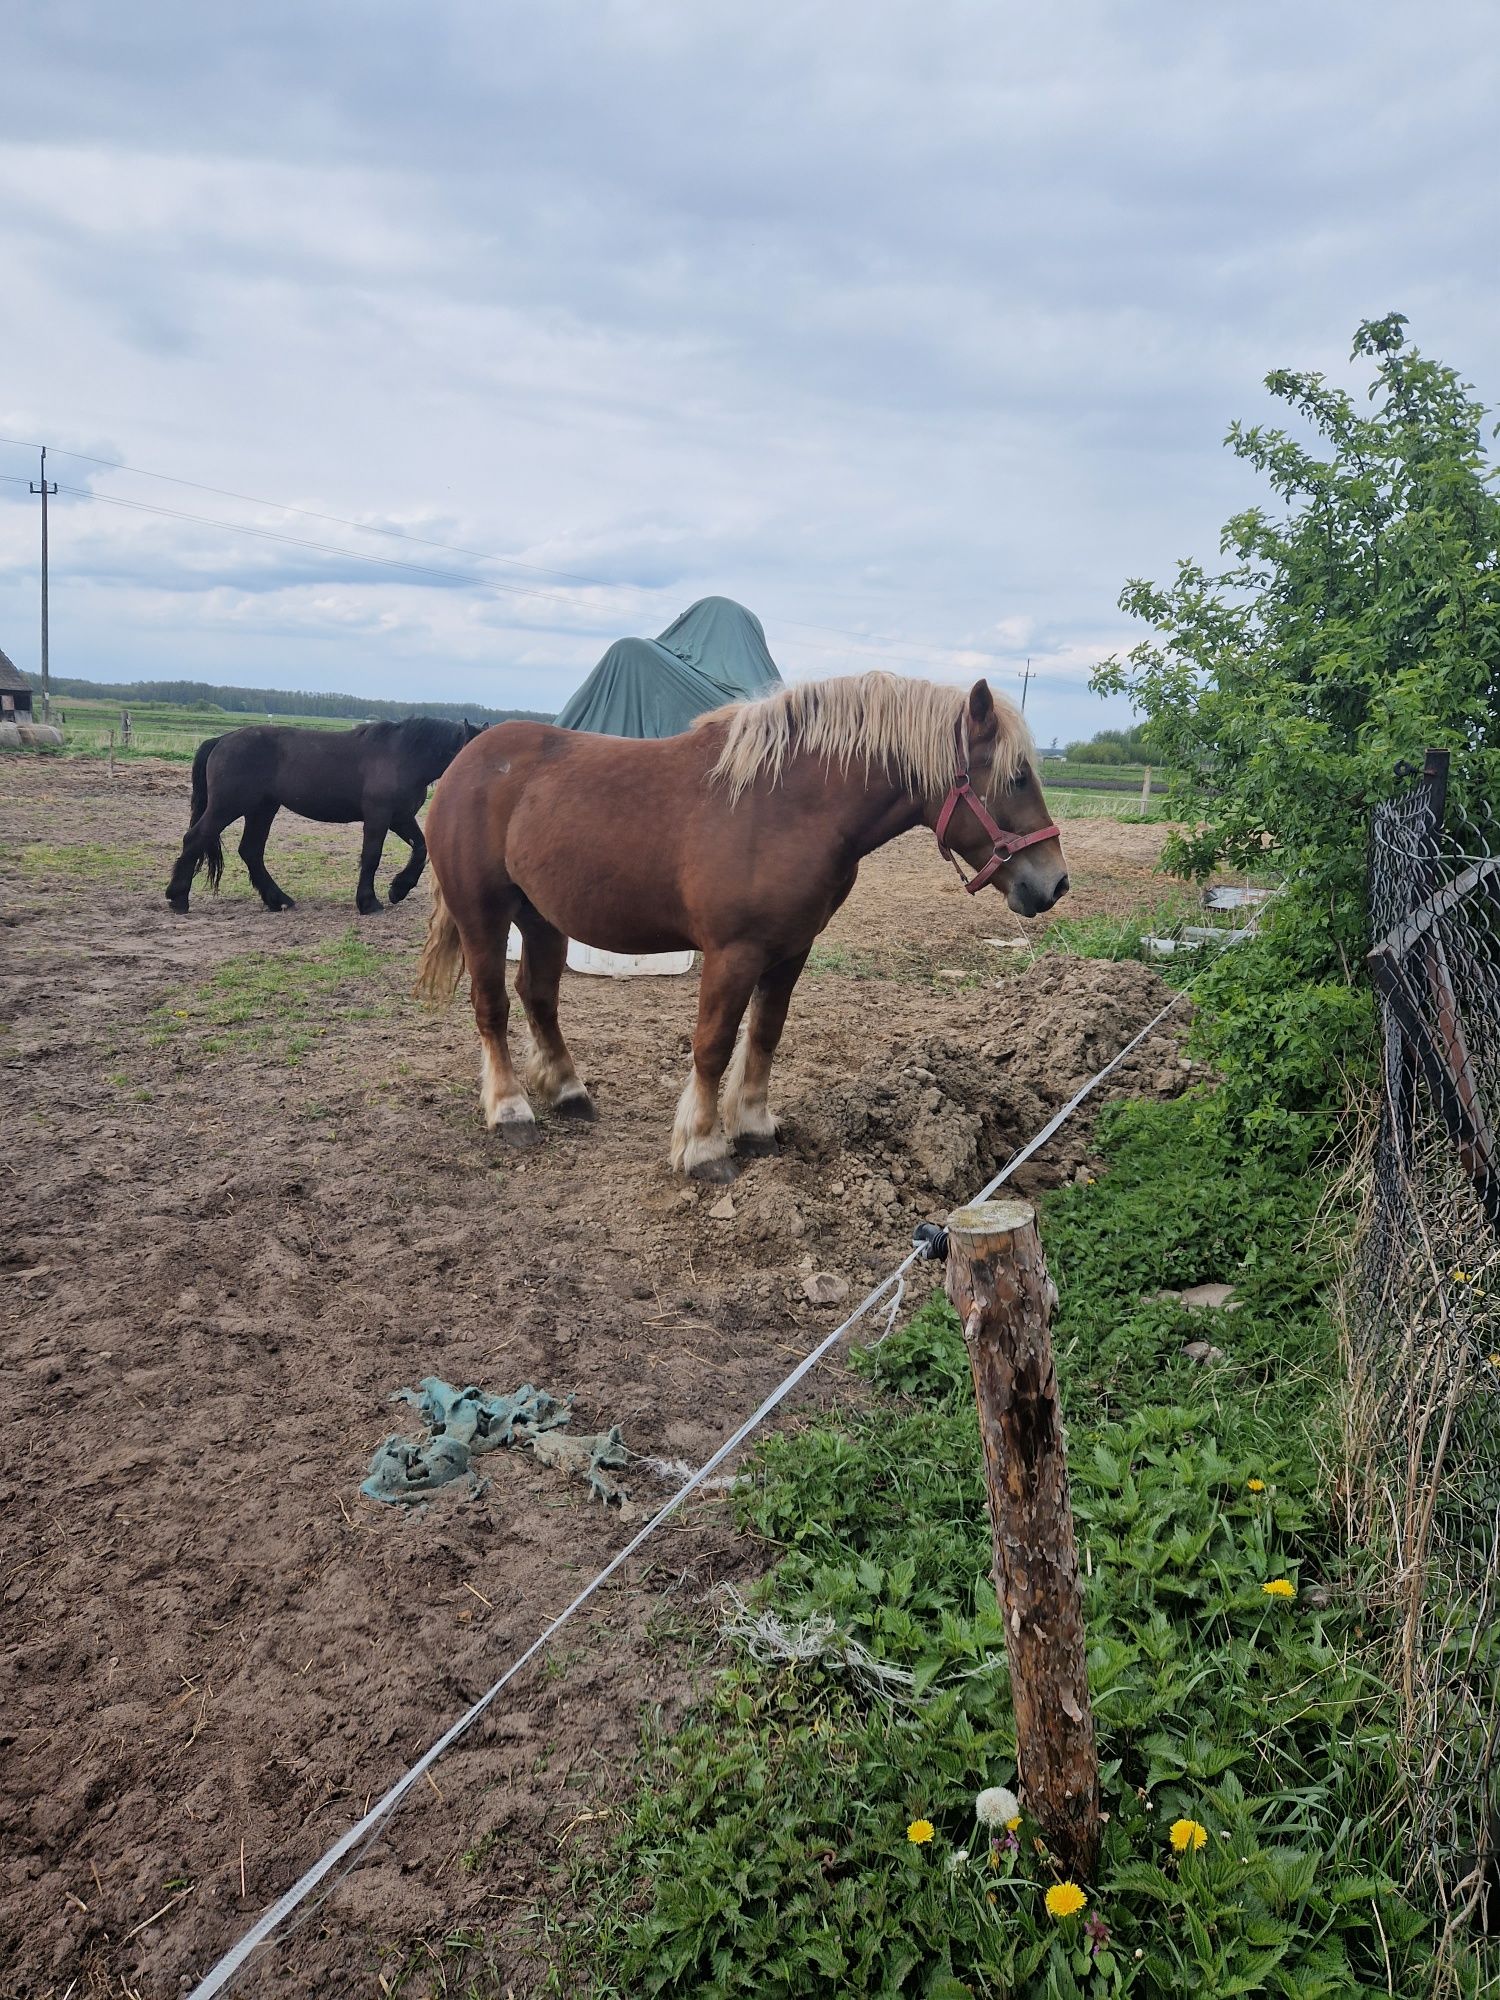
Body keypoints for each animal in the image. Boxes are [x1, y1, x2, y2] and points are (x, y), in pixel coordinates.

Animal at [164, 716, 482, 916]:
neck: (404, 756)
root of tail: (222, 739)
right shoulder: (379, 817)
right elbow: (372, 857)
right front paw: (369, 902)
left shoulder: (401, 818)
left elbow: (421, 848)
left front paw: (399, 889)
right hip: (228, 806)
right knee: (195, 838)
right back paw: (178, 898)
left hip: (262, 809)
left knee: (251, 851)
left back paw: (278, 900)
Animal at [414, 672, 1072, 1176]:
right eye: (1016, 777)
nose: (1054, 883)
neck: (786, 807)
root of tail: (466, 761)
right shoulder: (734, 952)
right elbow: (713, 1045)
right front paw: (704, 1148)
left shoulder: (790, 949)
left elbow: (764, 1036)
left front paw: (753, 1127)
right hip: (484, 915)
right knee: (493, 1006)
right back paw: (510, 1110)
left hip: (543, 917)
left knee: (539, 997)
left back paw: (568, 1091)